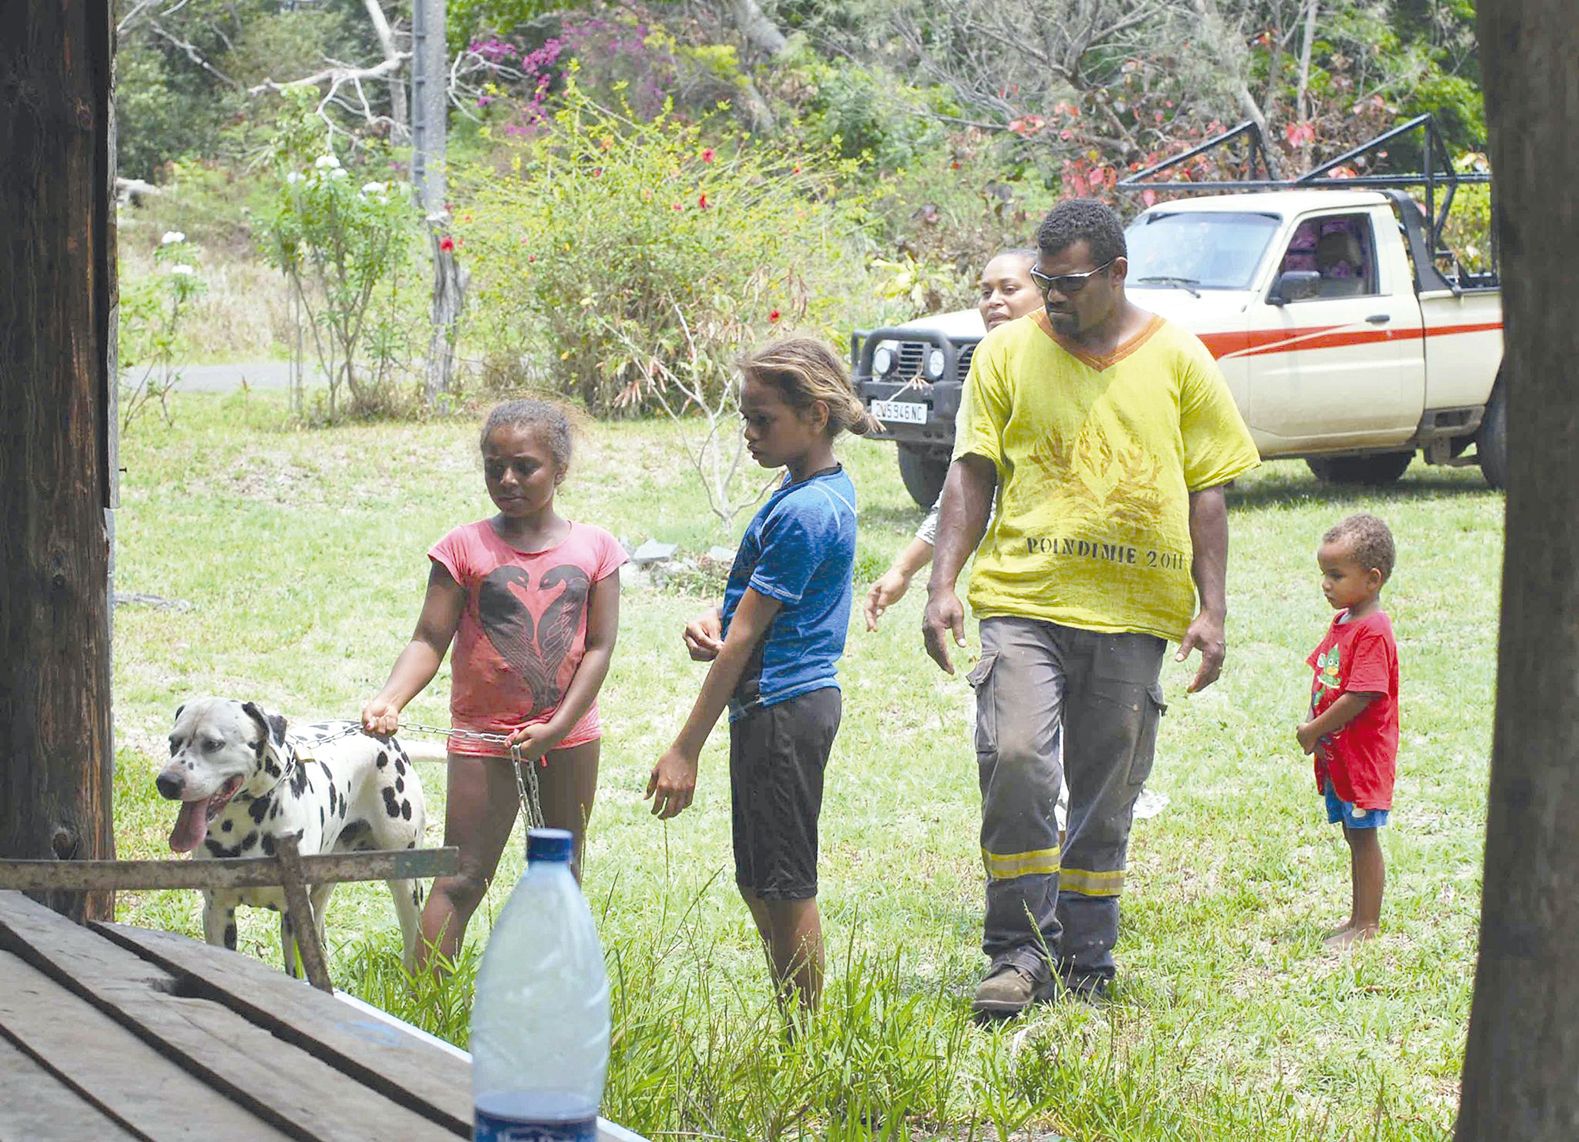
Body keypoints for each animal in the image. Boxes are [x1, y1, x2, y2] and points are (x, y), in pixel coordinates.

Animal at [154, 698, 429, 972]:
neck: (248, 822)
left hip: (407, 887)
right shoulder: (217, 912)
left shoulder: (295, 917)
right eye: (173, 742)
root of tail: (382, 736)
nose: (166, 782)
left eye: (212, 744)